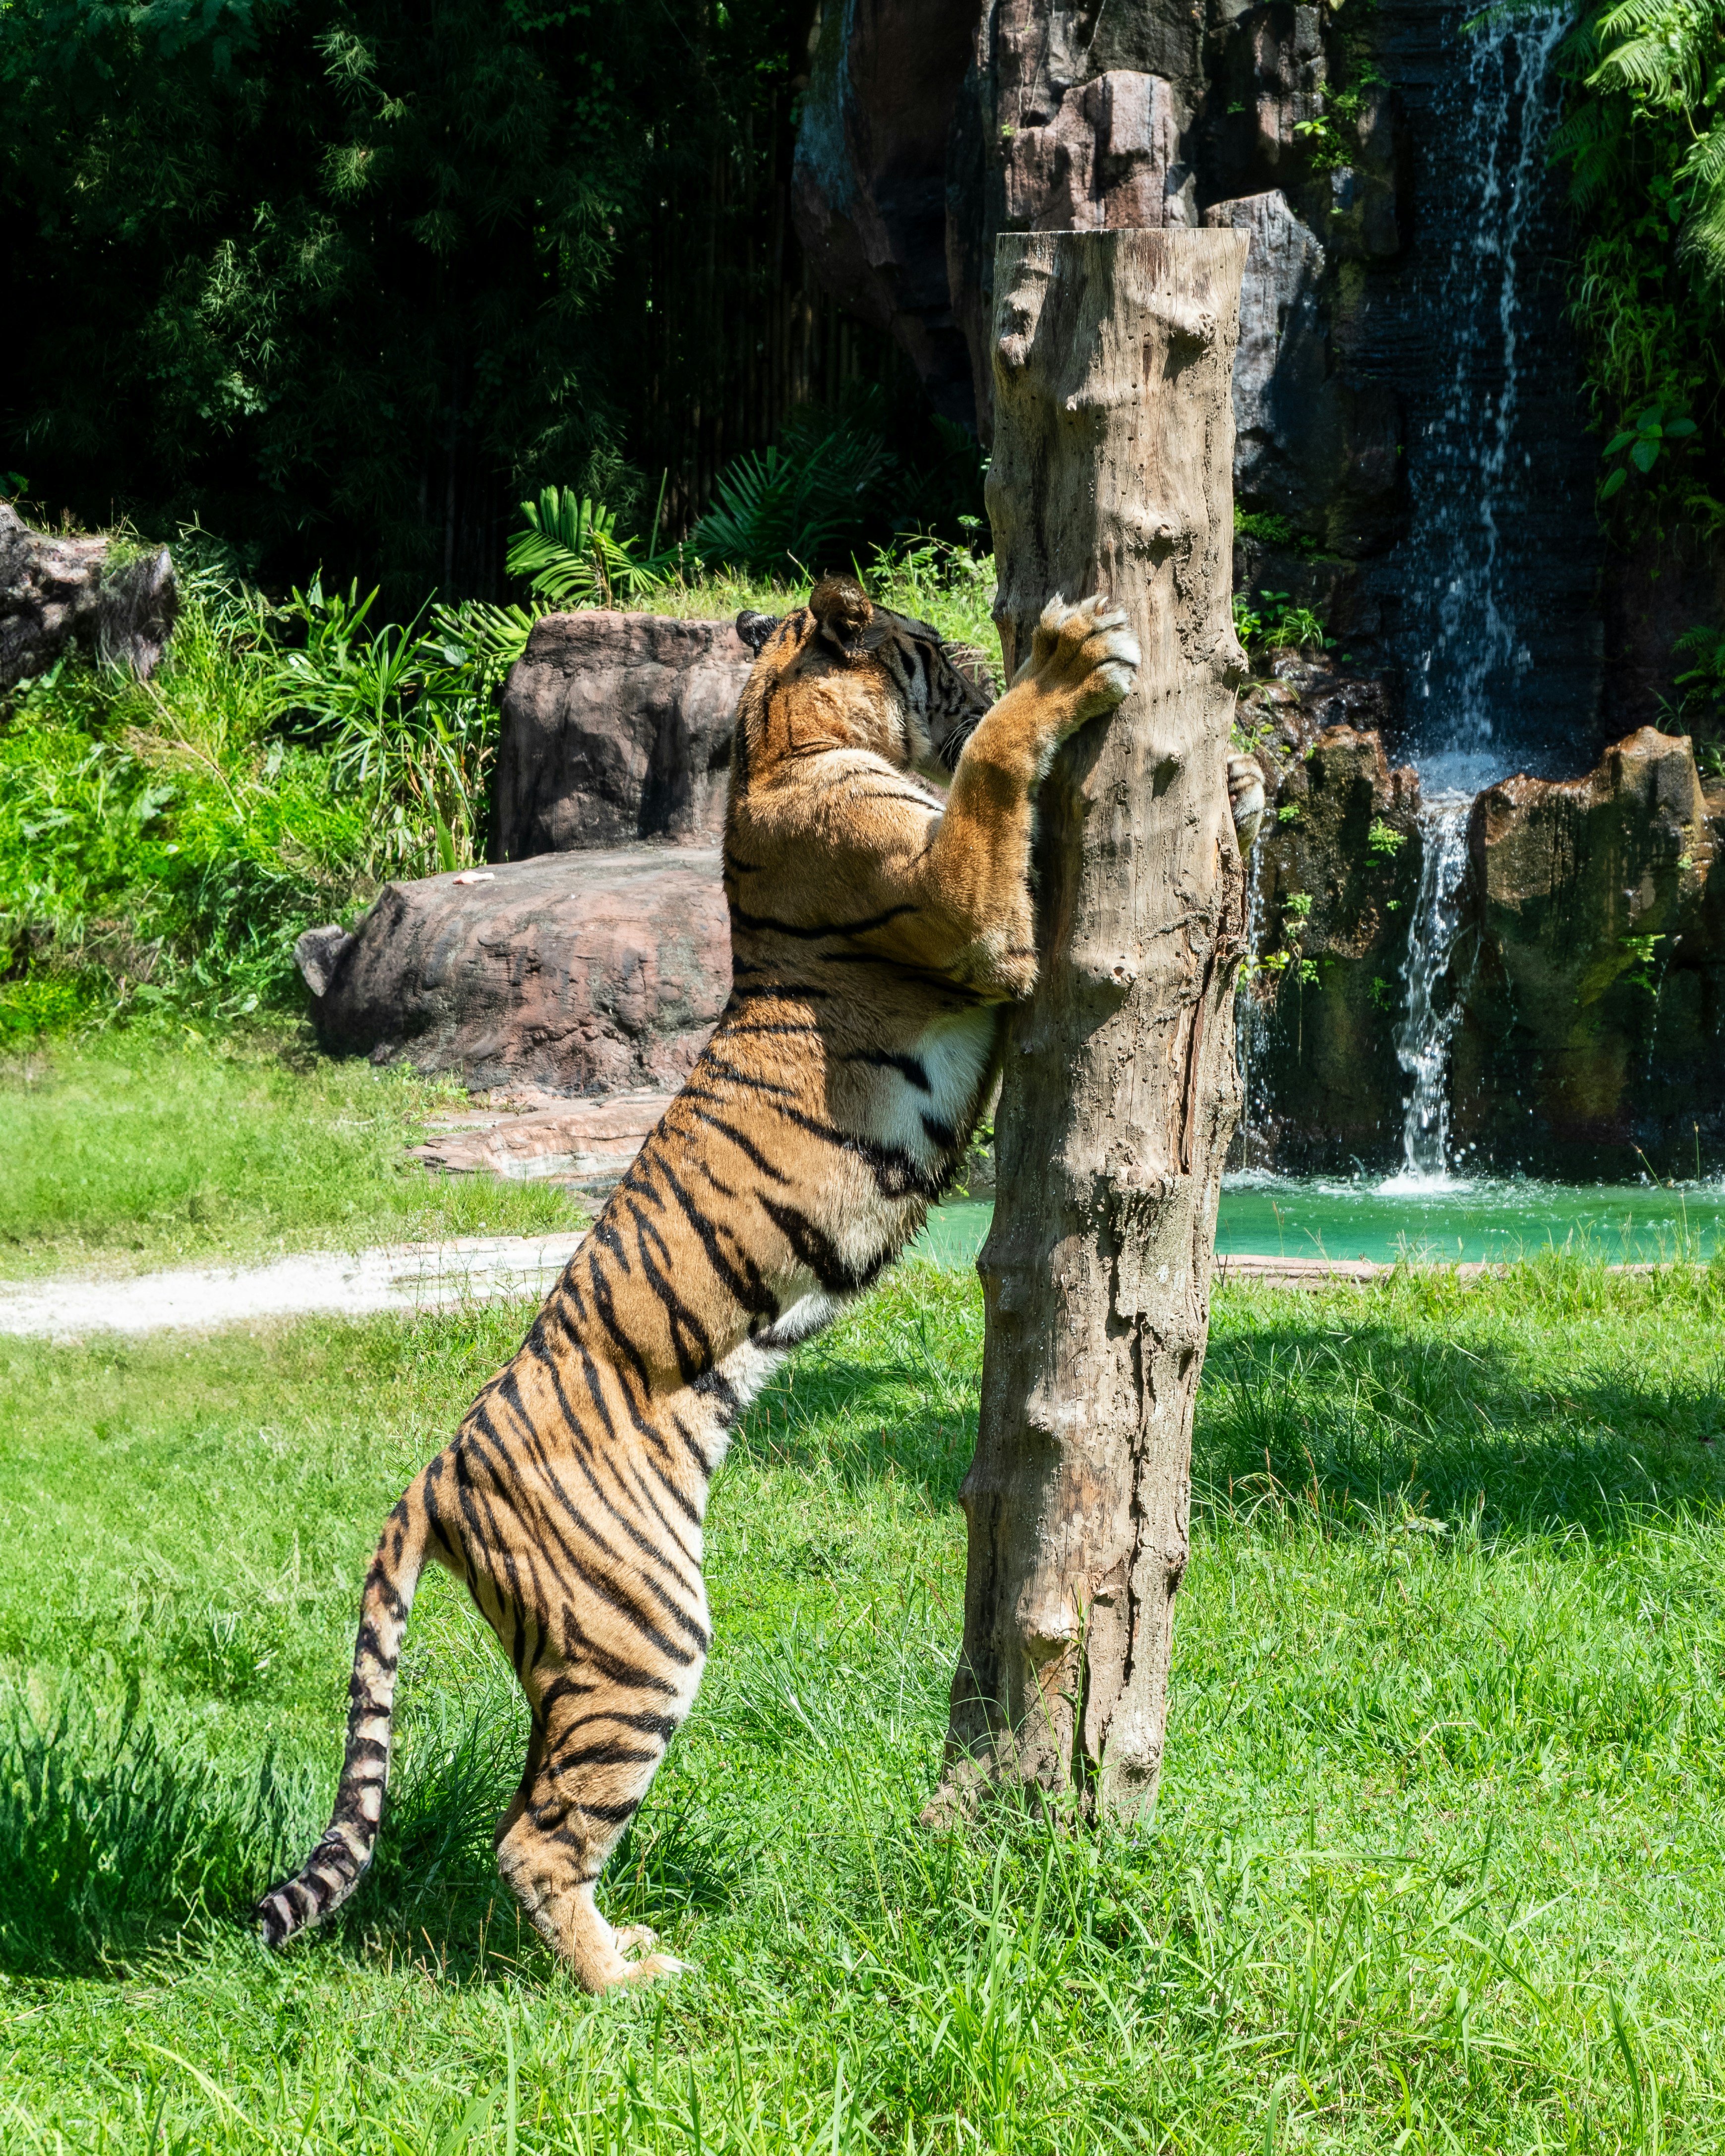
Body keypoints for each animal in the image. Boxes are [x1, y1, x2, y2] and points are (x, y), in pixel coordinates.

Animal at [259, 575, 1266, 1990]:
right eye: (937, 646)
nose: (988, 645)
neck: (780, 742)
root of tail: (433, 1477)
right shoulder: (973, 914)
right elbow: (998, 764)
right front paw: (1070, 663)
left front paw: (1242, 785)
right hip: (638, 1636)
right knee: (533, 1840)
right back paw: (627, 1985)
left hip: (577, 1653)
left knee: (530, 1812)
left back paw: (623, 1945)